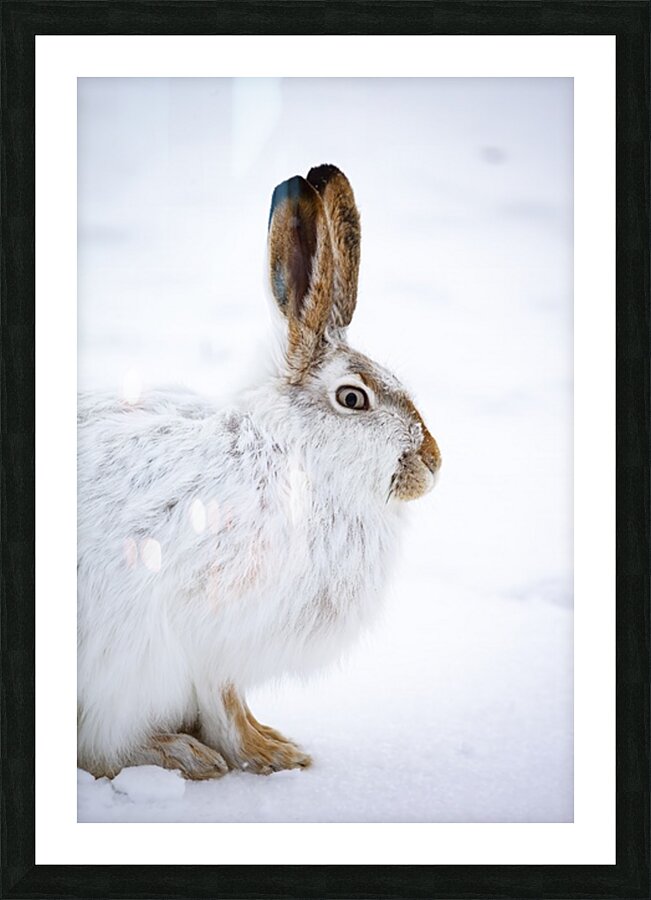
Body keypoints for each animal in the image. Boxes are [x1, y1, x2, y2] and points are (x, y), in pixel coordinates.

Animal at [77, 165, 441, 780]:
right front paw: (268, 754)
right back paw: (179, 755)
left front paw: (271, 746)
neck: (295, 457)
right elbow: (222, 705)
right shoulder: (201, 639)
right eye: (353, 398)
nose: (433, 463)